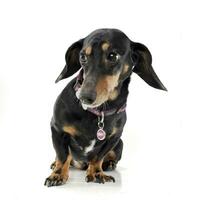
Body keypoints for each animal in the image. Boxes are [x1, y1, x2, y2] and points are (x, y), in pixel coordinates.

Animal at [44, 28, 167, 187]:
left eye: (113, 56)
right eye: (82, 57)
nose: (84, 97)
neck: (98, 113)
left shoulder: (114, 137)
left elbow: (98, 157)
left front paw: (97, 173)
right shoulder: (57, 129)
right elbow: (63, 155)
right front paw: (57, 175)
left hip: (120, 145)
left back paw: (109, 164)